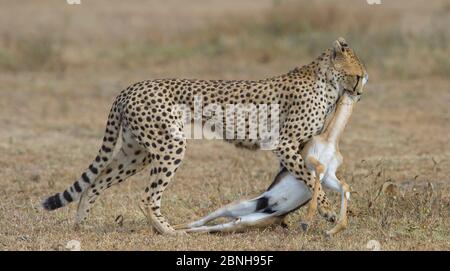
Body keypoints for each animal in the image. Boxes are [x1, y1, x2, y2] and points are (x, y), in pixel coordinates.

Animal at [41, 37, 366, 235]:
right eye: (358, 75)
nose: (360, 92)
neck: (326, 79)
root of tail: (131, 87)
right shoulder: (285, 145)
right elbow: (312, 180)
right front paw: (327, 212)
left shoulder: (297, 148)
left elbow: (319, 178)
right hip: (169, 145)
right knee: (147, 195)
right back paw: (168, 231)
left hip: (137, 152)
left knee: (95, 182)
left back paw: (80, 225)